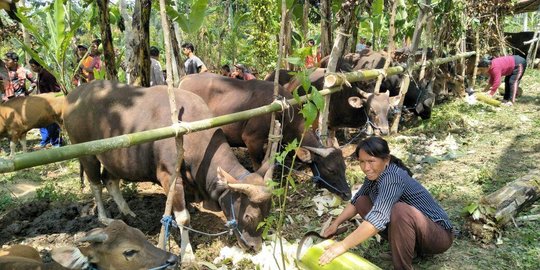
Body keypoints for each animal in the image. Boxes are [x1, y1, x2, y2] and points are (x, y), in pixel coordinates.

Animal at [63, 80, 272, 264]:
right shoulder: (169, 177)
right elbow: (183, 218)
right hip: (87, 154)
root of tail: (72, 96)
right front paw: (187, 254)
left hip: (113, 158)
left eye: (267, 213)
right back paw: (104, 218)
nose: (255, 247)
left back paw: (128, 212)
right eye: (249, 216)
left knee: (110, 181)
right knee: (95, 184)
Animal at [179, 73, 352, 200]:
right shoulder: (251, 140)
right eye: (330, 170)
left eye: (344, 166)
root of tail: (184, 79)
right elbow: (258, 166)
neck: (282, 112)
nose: (347, 194)